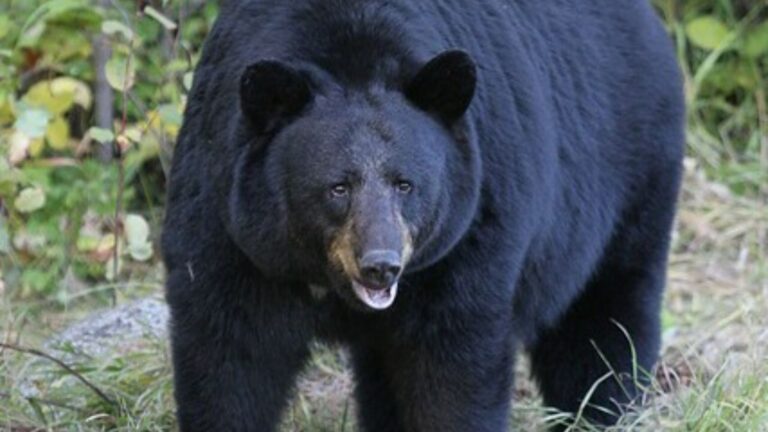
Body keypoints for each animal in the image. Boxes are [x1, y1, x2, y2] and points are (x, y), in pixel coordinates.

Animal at [161, 0, 684, 430]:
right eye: (338, 186)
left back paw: (602, 412)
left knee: (603, 325)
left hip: (630, 181)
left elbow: (453, 368)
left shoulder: (469, 234)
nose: (381, 264)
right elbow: (229, 357)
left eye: (405, 184)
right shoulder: (229, 226)